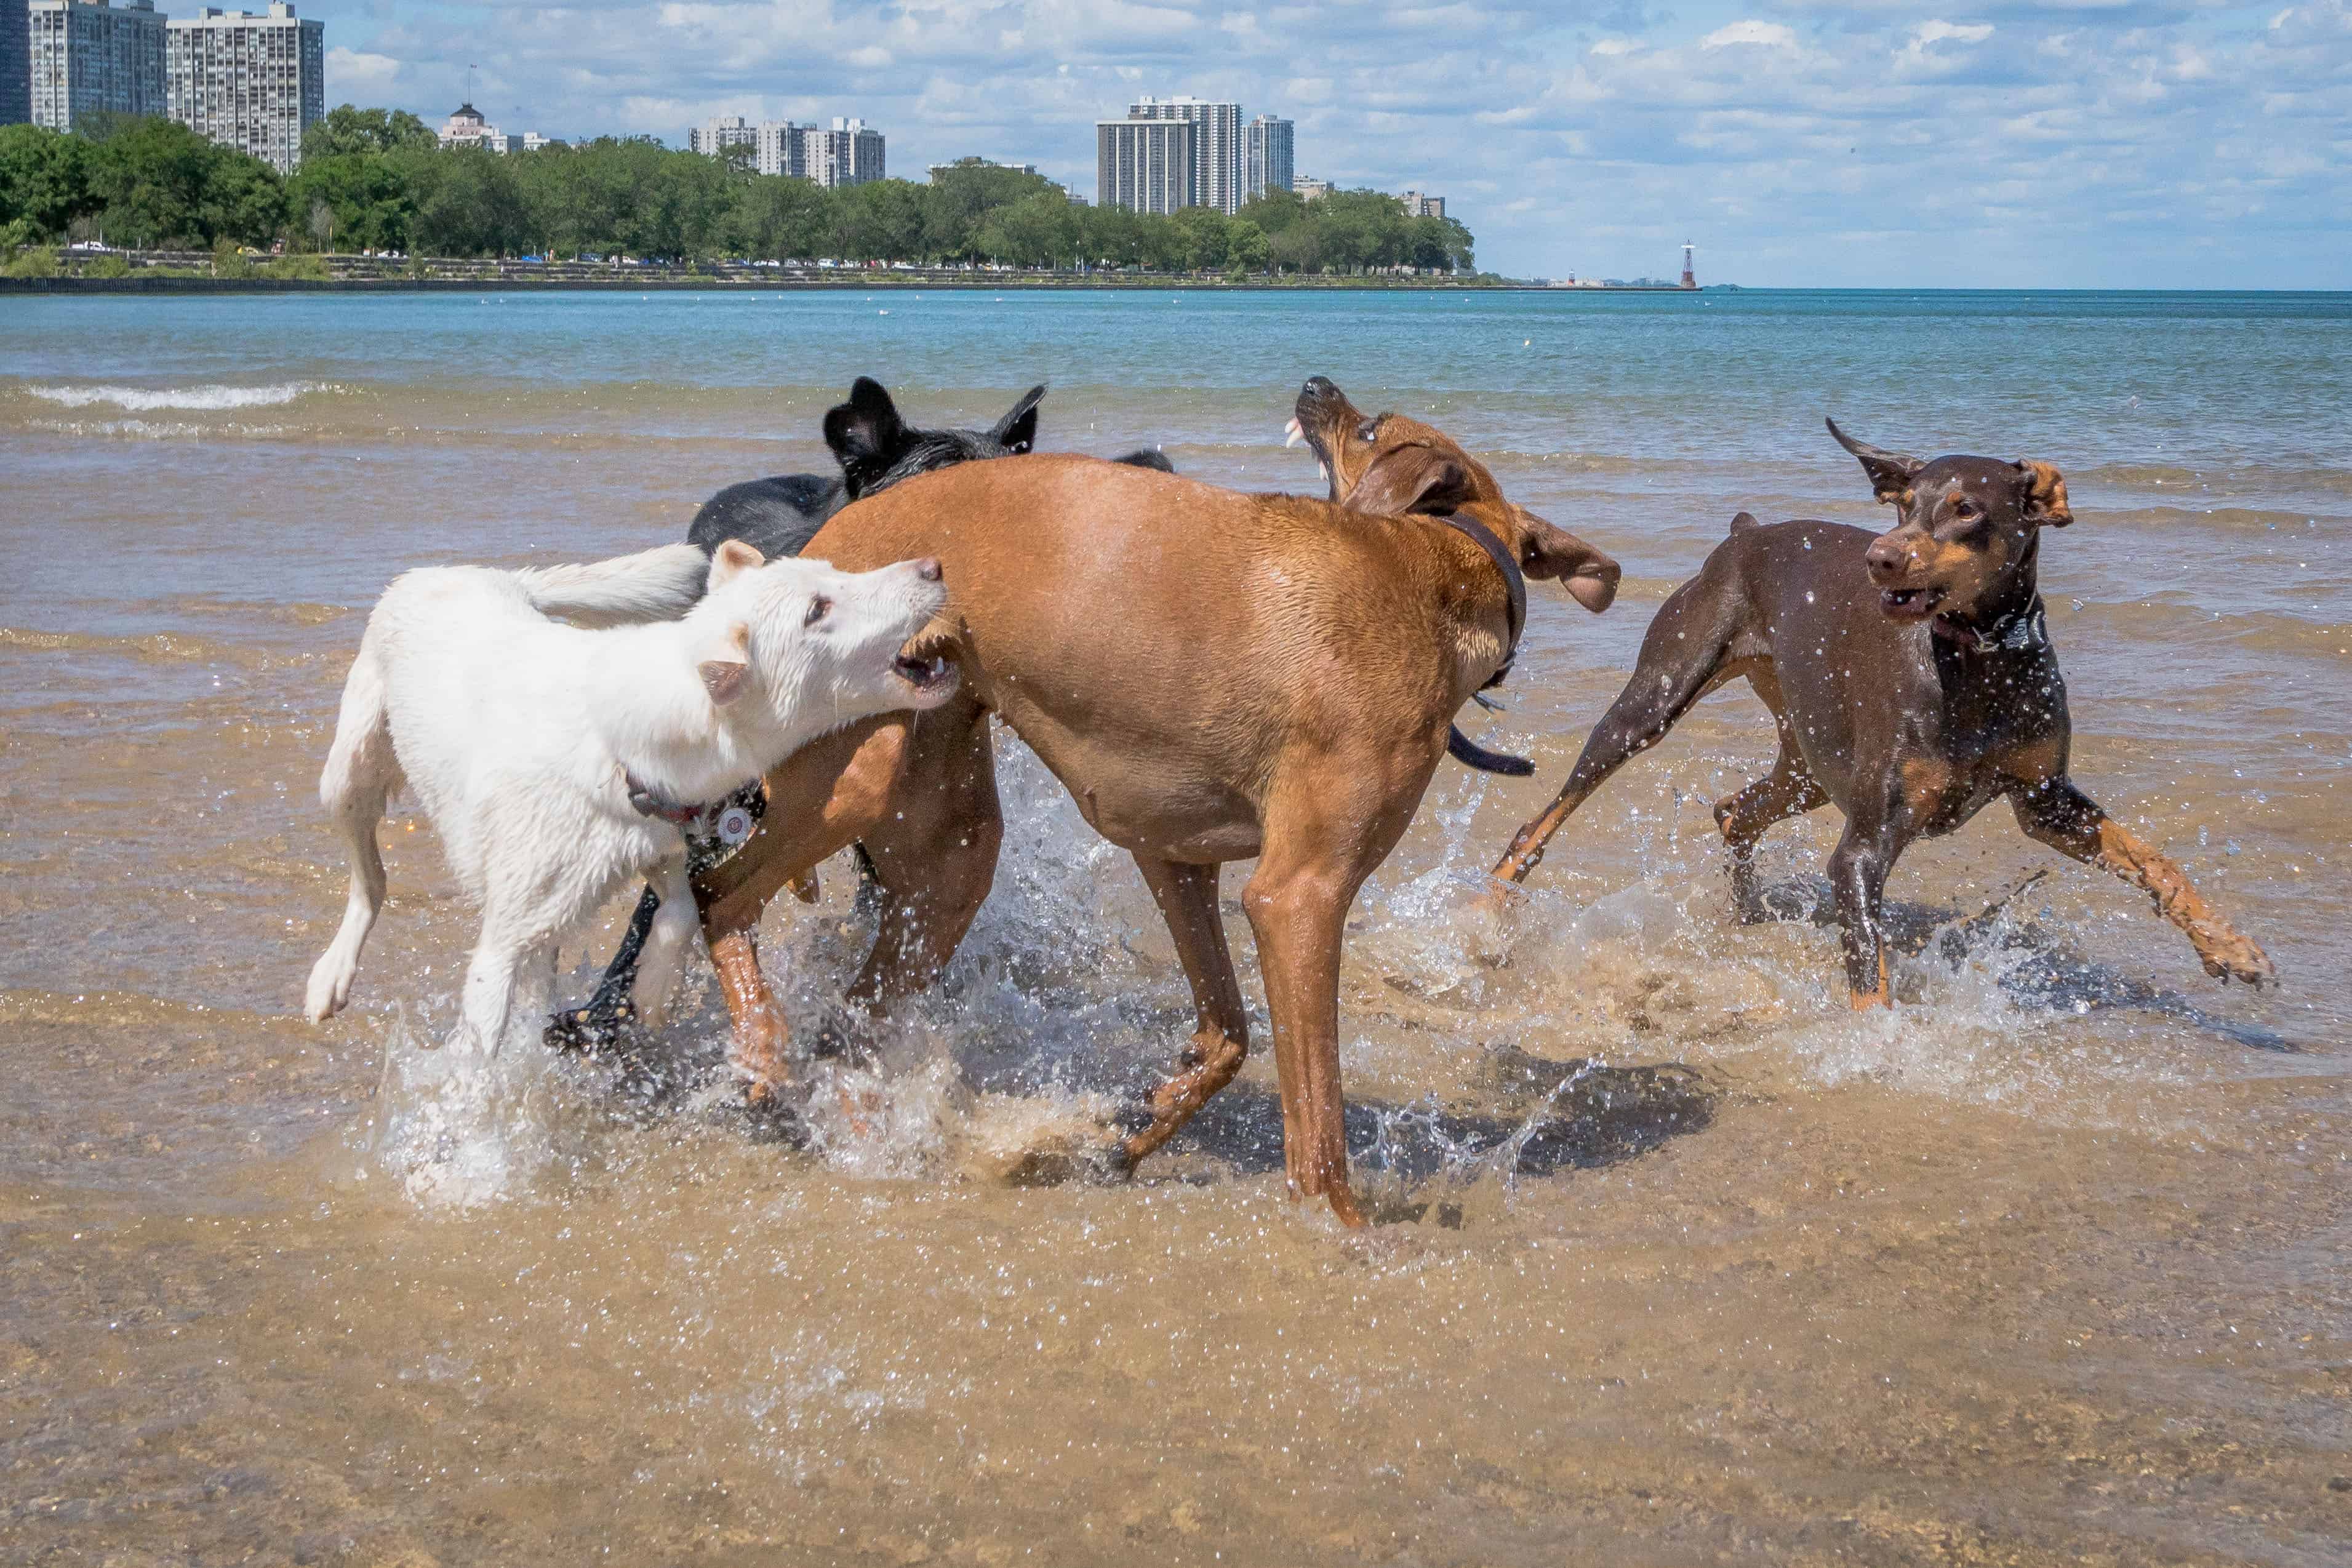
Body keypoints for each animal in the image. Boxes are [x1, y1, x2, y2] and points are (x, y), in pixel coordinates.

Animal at [305, 534, 954, 1062]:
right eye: (817, 611)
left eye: (835, 573)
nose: (934, 566)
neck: (620, 751)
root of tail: (456, 571)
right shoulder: (498, 944)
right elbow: (480, 1062)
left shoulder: (661, 844)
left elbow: (682, 911)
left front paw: (654, 990)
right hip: (346, 777)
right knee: (370, 880)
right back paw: (330, 977)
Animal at [677, 380, 1618, 1222]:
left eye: (1369, 425)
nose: (1317, 383)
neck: (1435, 571)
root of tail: (826, 530)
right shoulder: (1298, 896)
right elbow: (1318, 1132)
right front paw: (1342, 1238)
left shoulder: (1175, 854)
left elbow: (1228, 1035)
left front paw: (1134, 1131)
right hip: (854, 775)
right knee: (719, 895)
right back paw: (762, 1051)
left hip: (951, 850)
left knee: (854, 1019)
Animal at [1486, 416, 2276, 1006]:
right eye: (1903, 504)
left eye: (1966, 508)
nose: (1880, 557)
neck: (1981, 661)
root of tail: (1745, 533)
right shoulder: (1865, 847)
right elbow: (1869, 973)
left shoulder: (2044, 799)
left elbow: (2154, 860)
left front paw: (2231, 946)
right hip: (1657, 696)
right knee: (1542, 818)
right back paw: (1489, 907)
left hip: (1810, 763)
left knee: (1735, 809)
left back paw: (1749, 915)